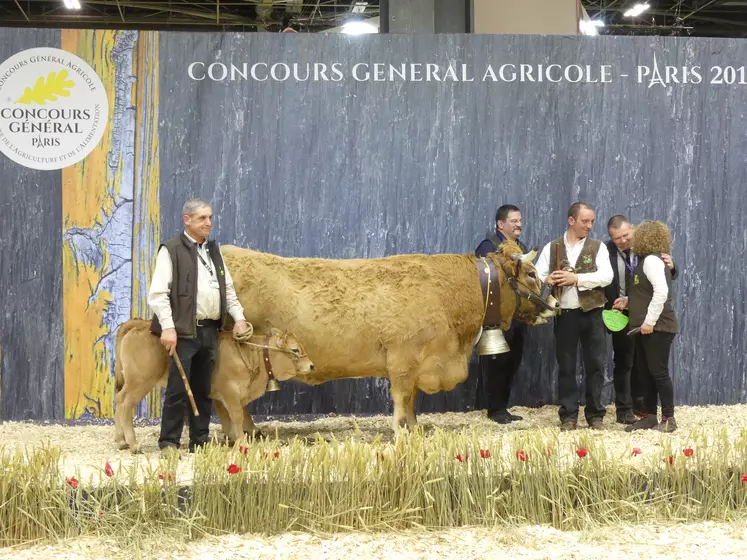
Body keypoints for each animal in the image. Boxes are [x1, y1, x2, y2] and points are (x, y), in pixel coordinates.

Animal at [114, 318, 316, 452]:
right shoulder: (231, 393)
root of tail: (138, 323)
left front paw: (232, 439)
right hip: (140, 381)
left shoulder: (222, 396)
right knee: (124, 403)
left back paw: (121, 441)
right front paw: (242, 443)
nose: (312, 365)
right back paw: (133, 444)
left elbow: (228, 418)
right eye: (295, 349)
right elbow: (236, 417)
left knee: (119, 400)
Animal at [219, 241, 560, 434]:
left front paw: (415, 428)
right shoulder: (403, 359)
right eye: (532, 274)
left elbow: (411, 399)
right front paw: (401, 431)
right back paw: (247, 431)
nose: (556, 304)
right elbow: (402, 396)